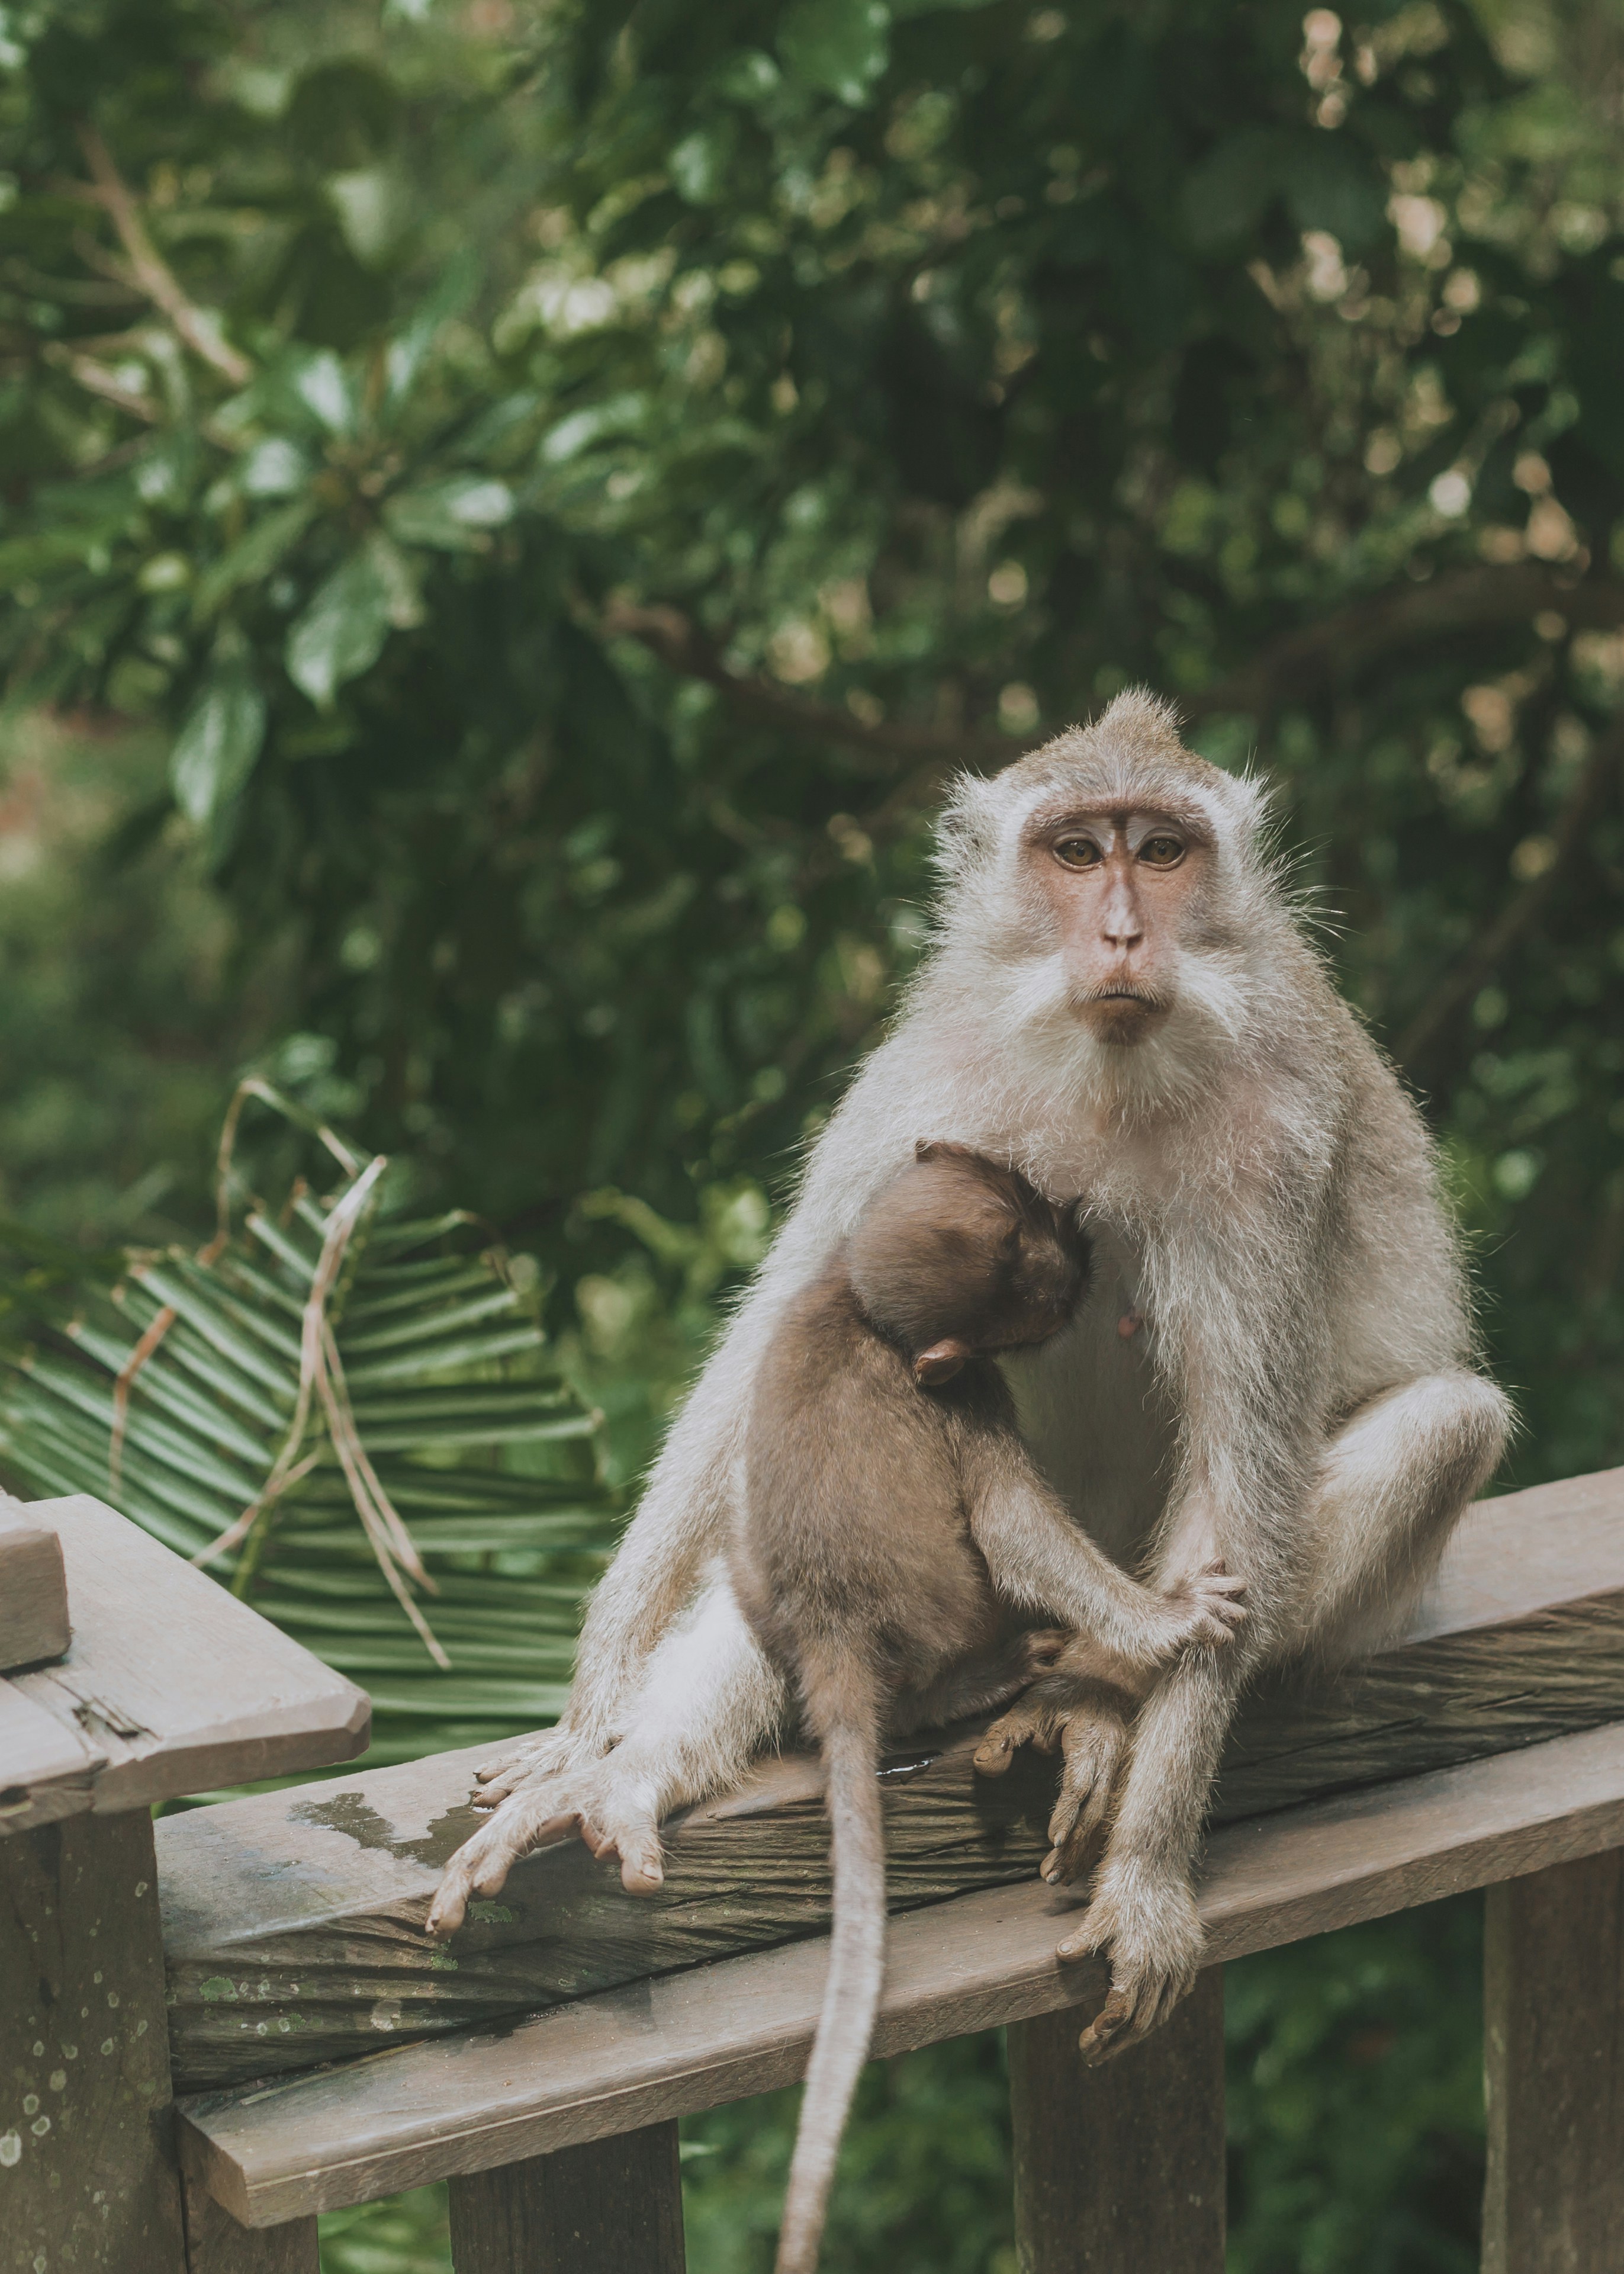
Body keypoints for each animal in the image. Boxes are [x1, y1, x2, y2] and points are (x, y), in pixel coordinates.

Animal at [428, 688, 1511, 2076]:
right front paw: (591, 1715)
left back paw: (1093, 1700)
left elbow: (1242, 1475)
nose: (1121, 930)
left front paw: (1148, 1872)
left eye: (1163, 852)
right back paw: (632, 1774)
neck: (1107, 1071)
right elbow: (772, 1346)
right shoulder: (917, 1083)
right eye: (1075, 852)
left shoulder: (1273, 1153)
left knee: (1446, 1424)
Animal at [728, 1143, 1246, 2274]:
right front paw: (1164, 1623)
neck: (858, 1304)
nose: (1078, 1231)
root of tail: (827, 1634)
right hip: (940, 1608)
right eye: (1040, 1301)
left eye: (1027, 1196)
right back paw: (975, 1683)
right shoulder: (967, 1389)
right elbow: (1011, 1524)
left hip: (771, 1603)